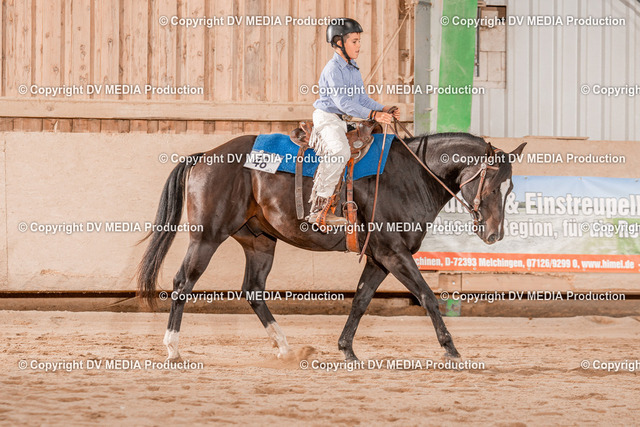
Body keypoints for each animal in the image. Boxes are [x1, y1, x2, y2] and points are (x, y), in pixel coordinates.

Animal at [136, 129, 526, 362]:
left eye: (510, 189)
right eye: (493, 185)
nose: (495, 234)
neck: (408, 177)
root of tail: (207, 155)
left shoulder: (379, 259)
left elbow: (361, 301)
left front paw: (346, 350)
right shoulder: (393, 253)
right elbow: (427, 296)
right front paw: (451, 349)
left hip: (260, 242)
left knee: (254, 290)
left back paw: (286, 347)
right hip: (207, 236)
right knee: (183, 282)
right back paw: (172, 347)